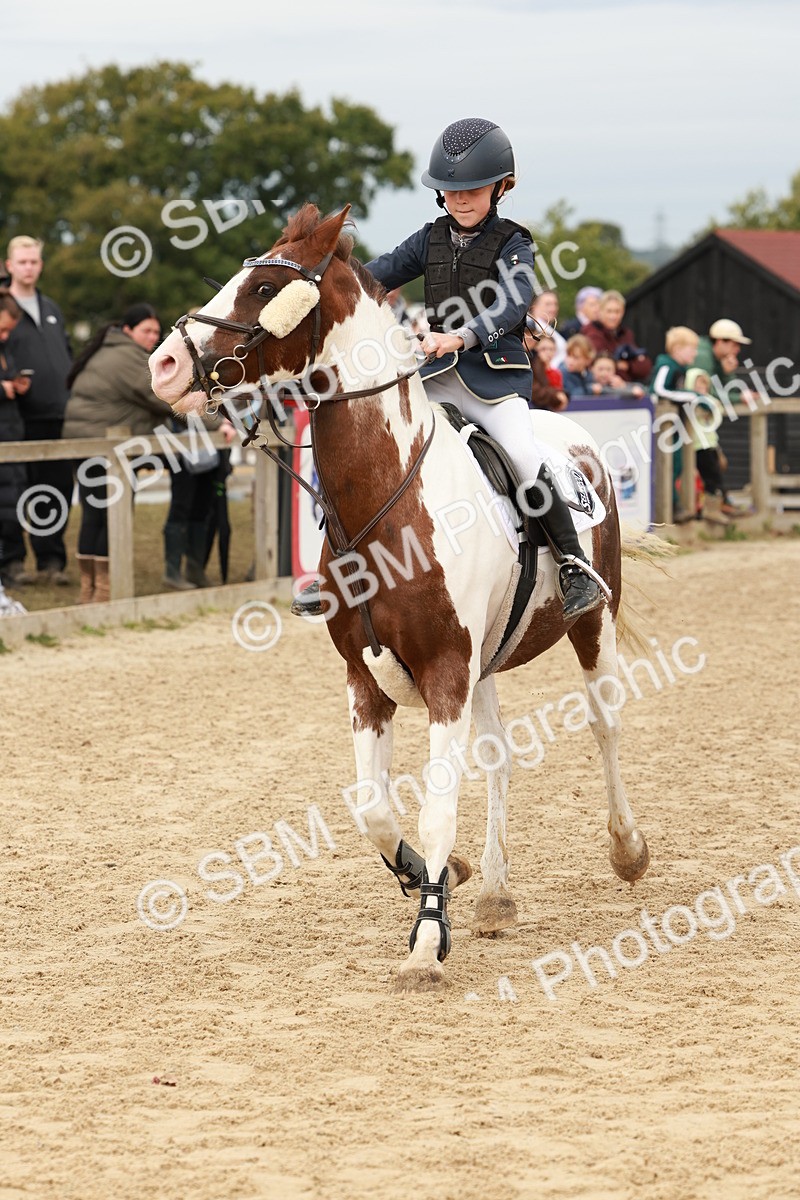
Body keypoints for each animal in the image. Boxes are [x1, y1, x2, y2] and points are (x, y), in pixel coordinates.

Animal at [150, 203, 651, 993]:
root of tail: (571, 435)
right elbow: (375, 811)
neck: (390, 496)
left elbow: (437, 809)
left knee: (605, 727)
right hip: (487, 665)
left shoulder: (445, 672)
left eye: (263, 288)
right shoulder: (369, 680)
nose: (164, 364)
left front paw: (427, 941)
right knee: (499, 759)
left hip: (591, 625)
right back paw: (497, 893)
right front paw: (434, 877)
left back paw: (628, 850)